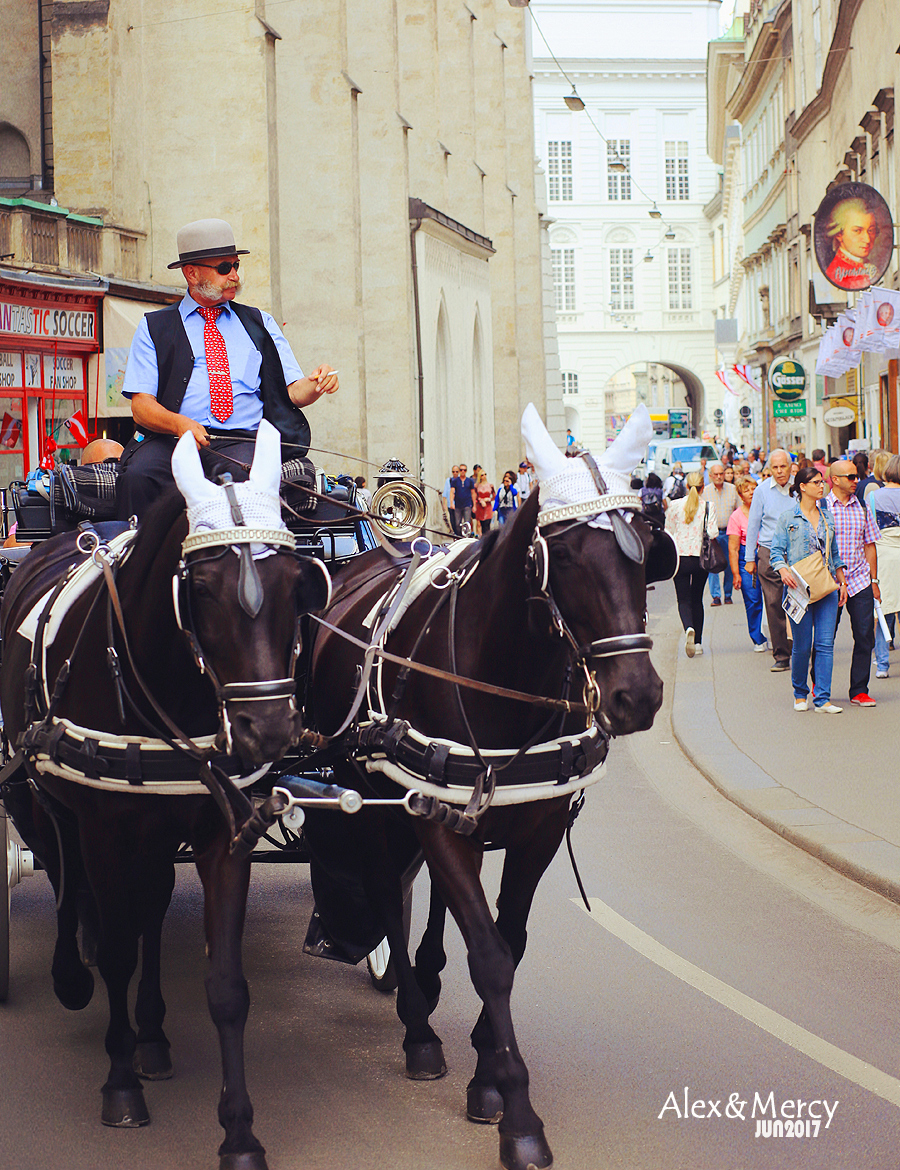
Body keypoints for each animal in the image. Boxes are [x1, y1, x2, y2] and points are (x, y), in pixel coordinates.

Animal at [0, 425, 330, 1170]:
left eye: (295, 582)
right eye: (200, 587)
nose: (269, 731)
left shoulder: (221, 832)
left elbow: (225, 984)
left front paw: (239, 1133)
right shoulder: (103, 827)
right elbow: (116, 947)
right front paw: (120, 1086)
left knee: (146, 909)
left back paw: (151, 1034)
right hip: (41, 792)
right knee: (64, 872)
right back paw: (75, 974)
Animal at [301, 467, 674, 1170]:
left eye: (645, 551)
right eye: (569, 559)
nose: (636, 696)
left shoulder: (538, 831)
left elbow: (510, 940)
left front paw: (488, 1072)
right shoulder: (436, 823)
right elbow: (490, 956)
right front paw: (519, 1115)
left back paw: (426, 975)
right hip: (371, 802)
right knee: (387, 896)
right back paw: (418, 1027)